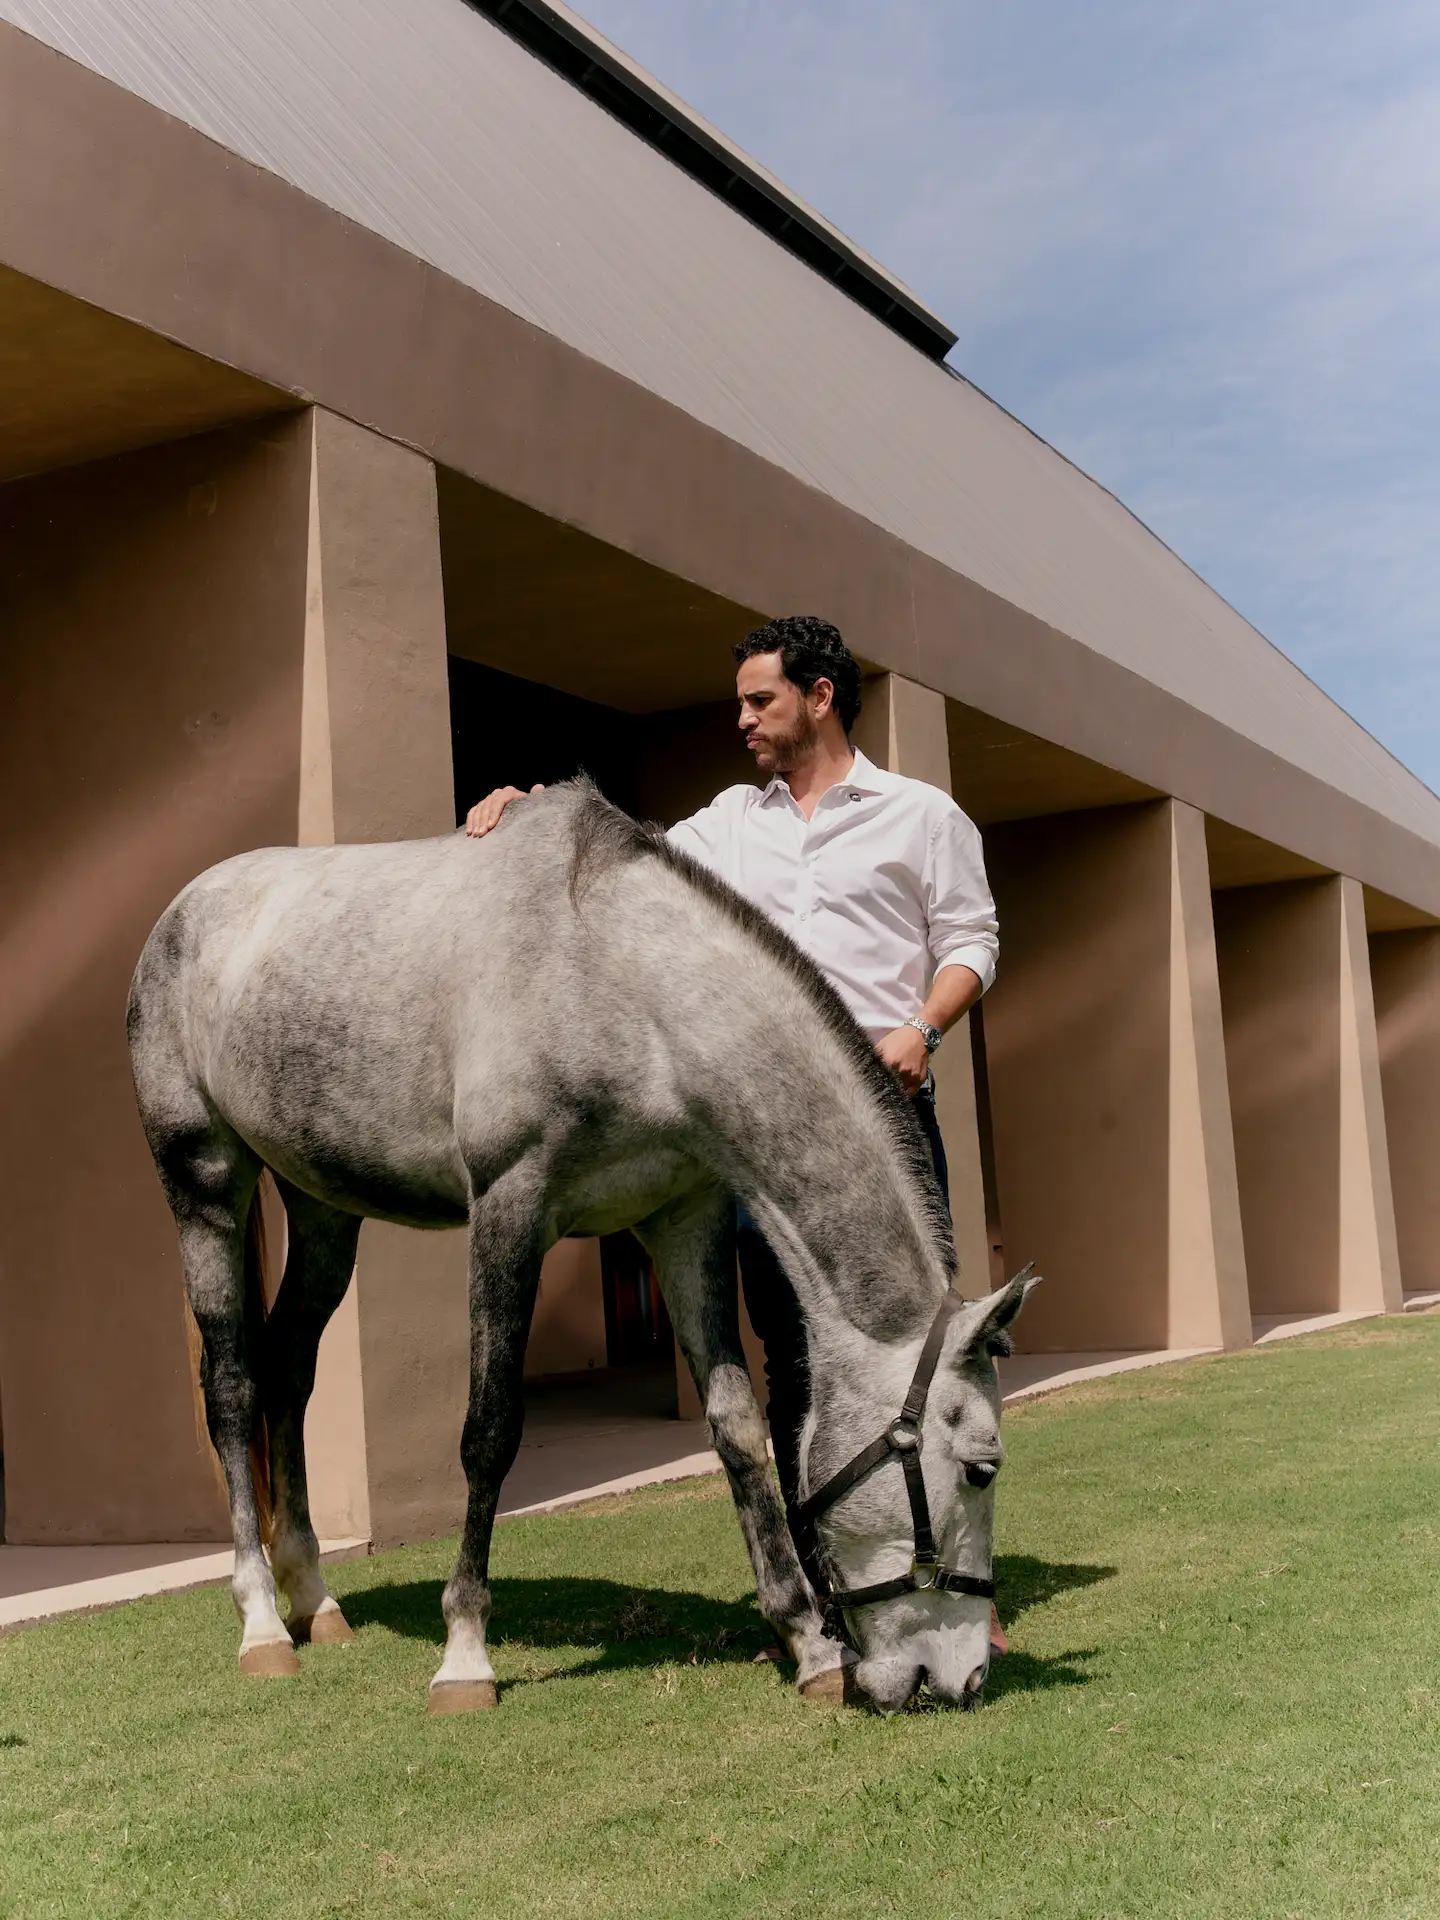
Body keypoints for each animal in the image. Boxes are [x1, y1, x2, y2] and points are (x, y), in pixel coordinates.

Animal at [127, 780, 1035, 1715]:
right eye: (982, 1469)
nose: (962, 1677)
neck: (620, 985)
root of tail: (183, 912)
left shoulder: (685, 1220)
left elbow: (739, 1428)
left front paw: (807, 1643)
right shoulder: (510, 1210)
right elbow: (489, 1430)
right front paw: (465, 1652)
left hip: (321, 1213)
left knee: (290, 1372)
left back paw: (313, 1595)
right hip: (204, 1181)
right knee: (233, 1386)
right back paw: (263, 1623)